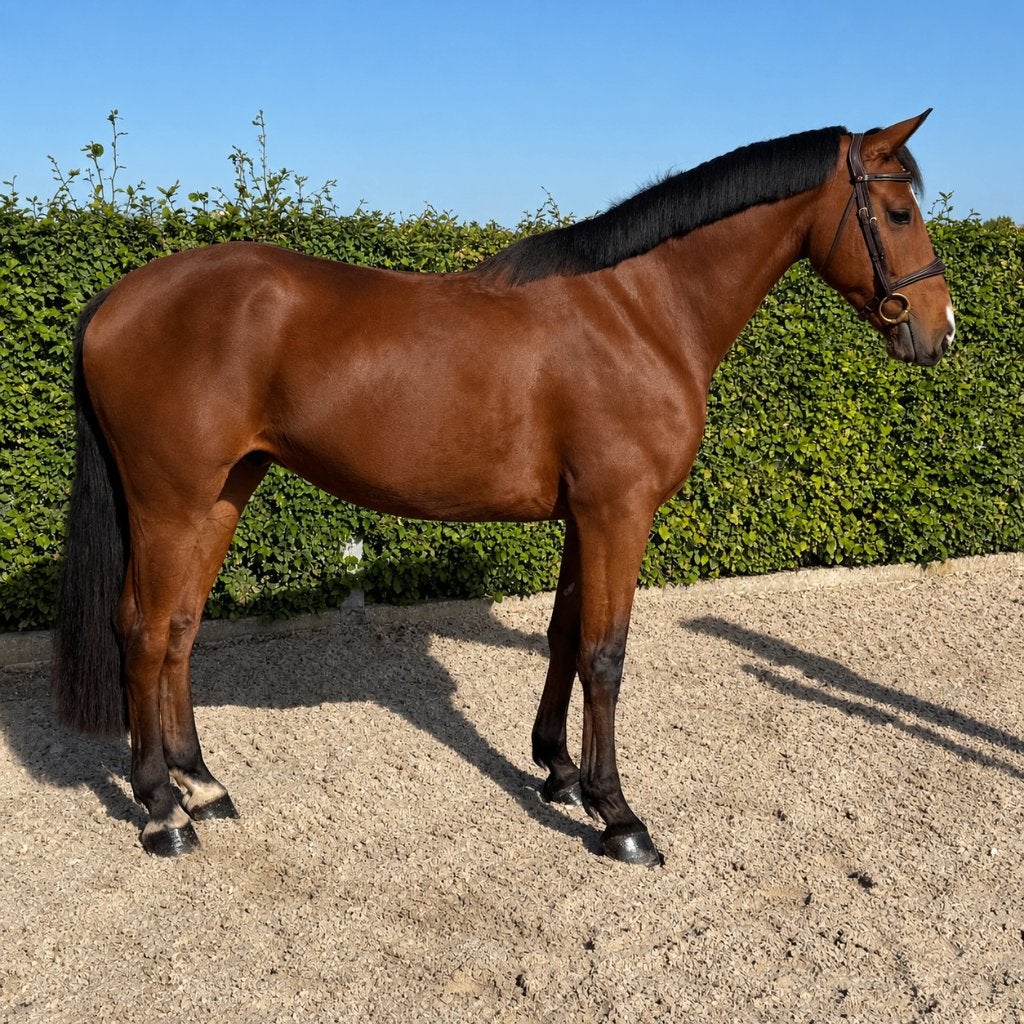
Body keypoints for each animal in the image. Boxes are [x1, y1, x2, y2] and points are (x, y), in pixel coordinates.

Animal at [53, 111, 955, 865]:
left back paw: (202, 786)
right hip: (169, 501)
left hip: (221, 493)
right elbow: (605, 655)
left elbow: (563, 637)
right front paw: (619, 817)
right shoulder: (618, 513)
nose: (939, 330)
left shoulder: (585, 516)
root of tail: (118, 298)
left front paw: (558, 773)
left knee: (179, 629)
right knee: (142, 632)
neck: (640, 311)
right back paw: (162, 812)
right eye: (897, 213)